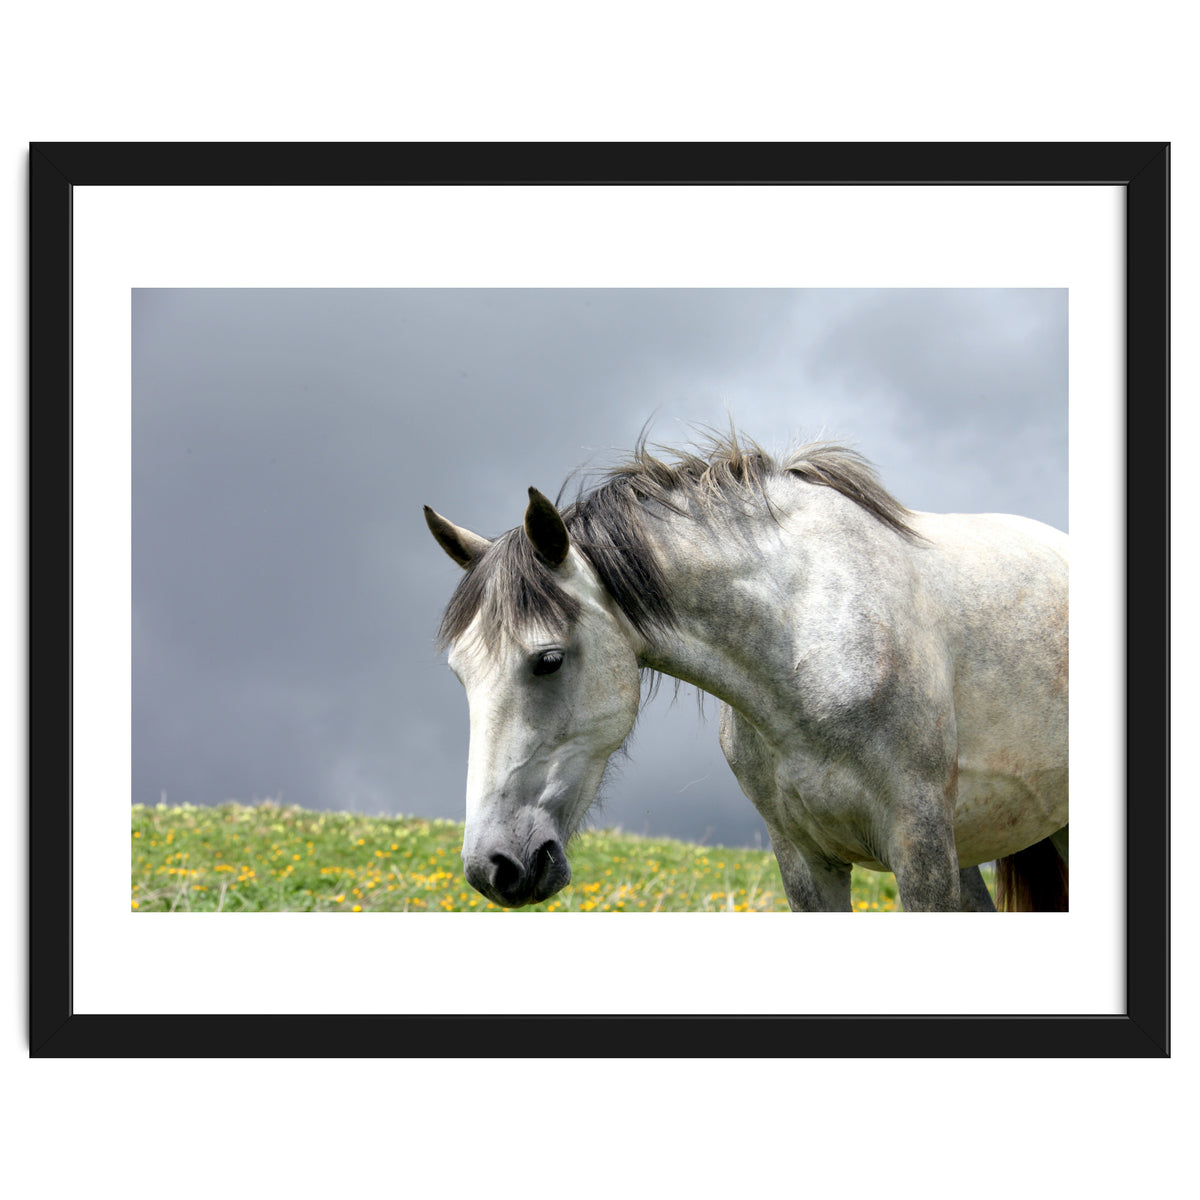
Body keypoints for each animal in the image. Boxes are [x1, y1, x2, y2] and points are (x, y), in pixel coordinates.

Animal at [424, 431, 1069, 912]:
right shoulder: (804, 860)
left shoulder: (920, 845)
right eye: (459, 675)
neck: (808, 644)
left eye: (549, 660)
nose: (493, 867)